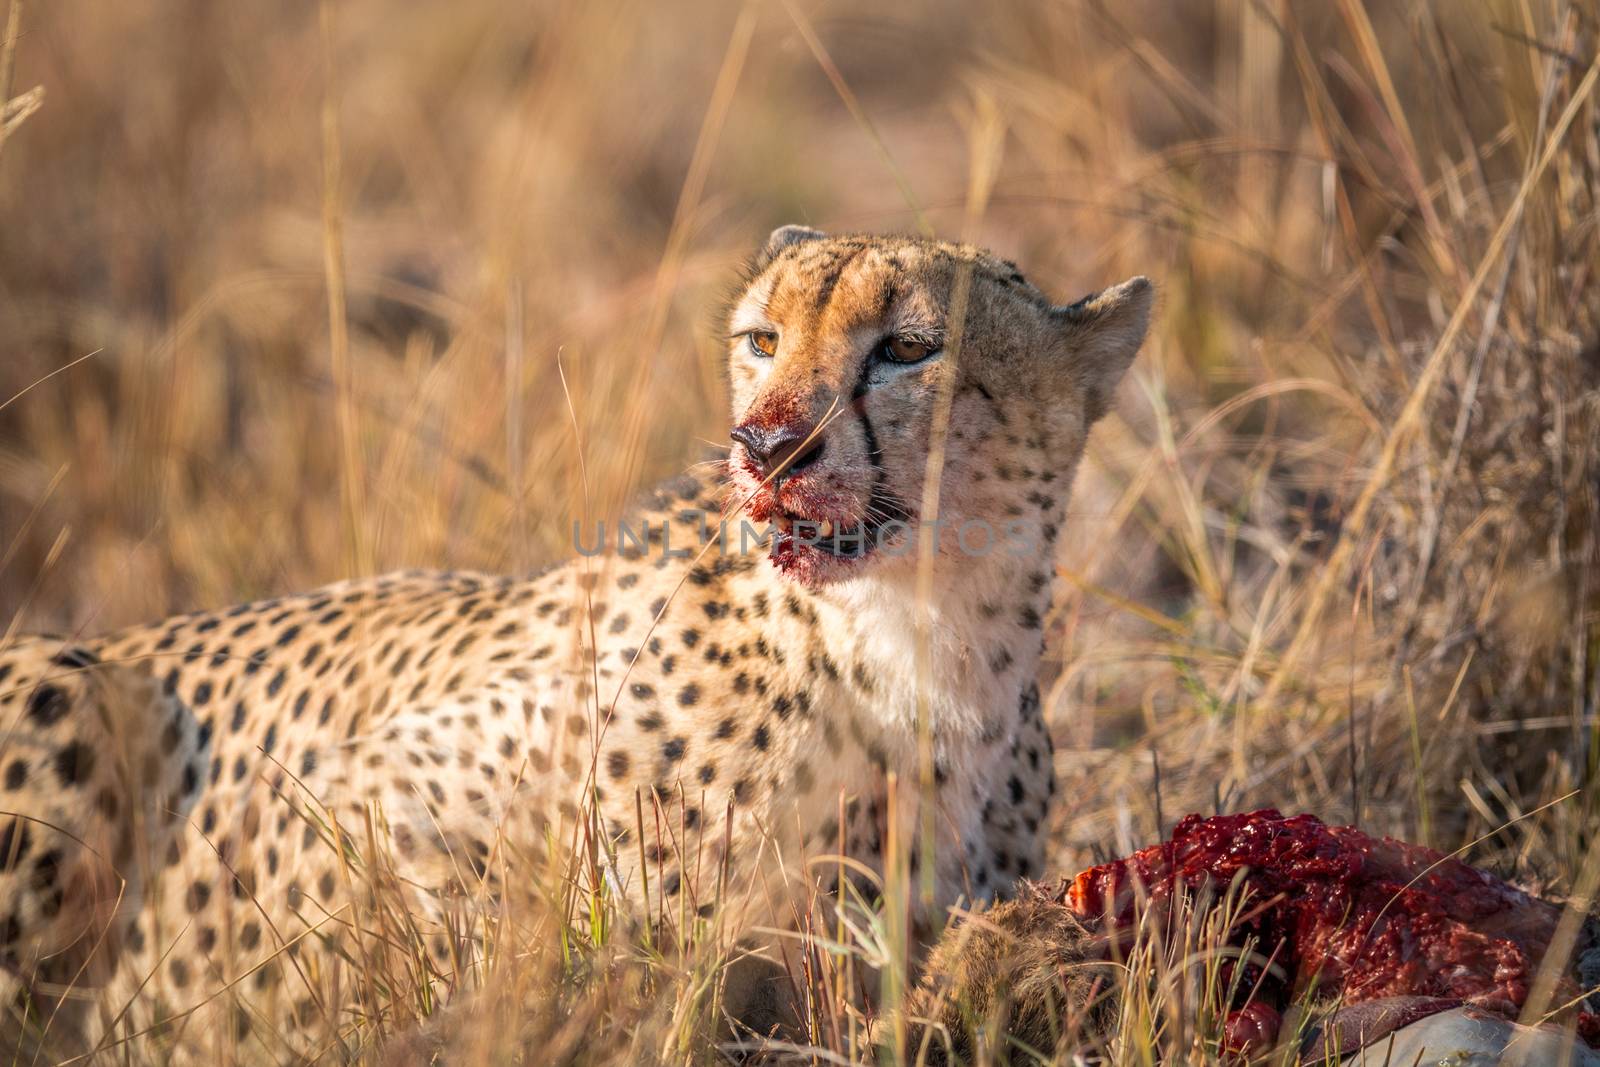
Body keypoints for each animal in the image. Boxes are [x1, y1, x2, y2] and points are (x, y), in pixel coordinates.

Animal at [0, 227, 1152, 1062]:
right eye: (762, 341)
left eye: (909, 349)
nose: (767, 446)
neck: (921, 637)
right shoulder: (373, 776)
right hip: (66, 680)